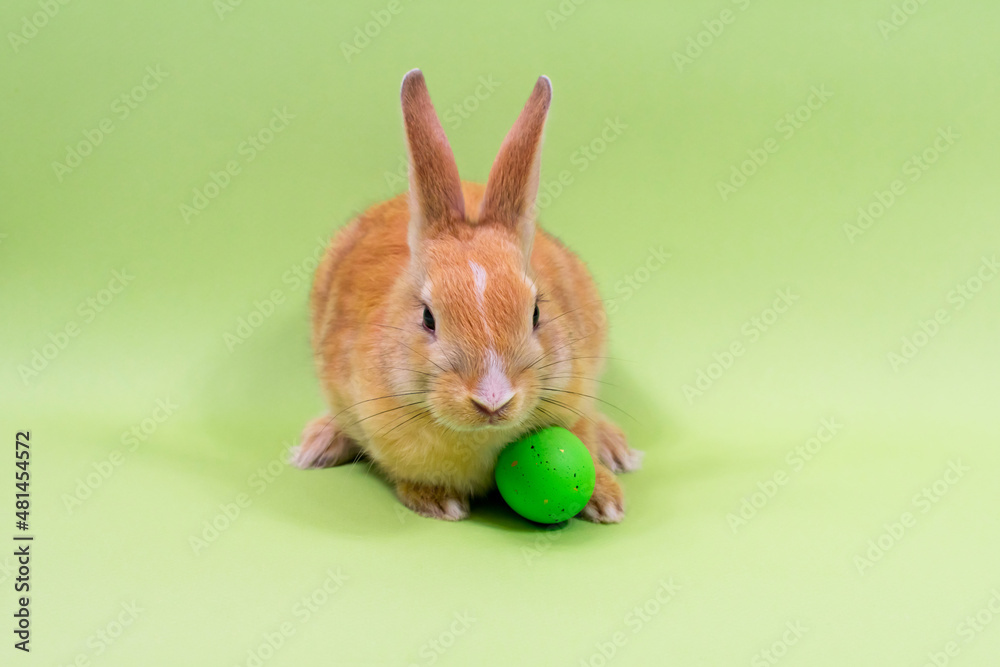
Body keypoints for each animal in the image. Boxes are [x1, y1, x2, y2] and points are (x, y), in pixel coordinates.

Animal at [290, 70, 642, 522]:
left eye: (536, 313)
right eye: (428, 317)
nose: (493, 400)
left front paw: (607, 501)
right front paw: (440, 503)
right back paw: (318, 446)